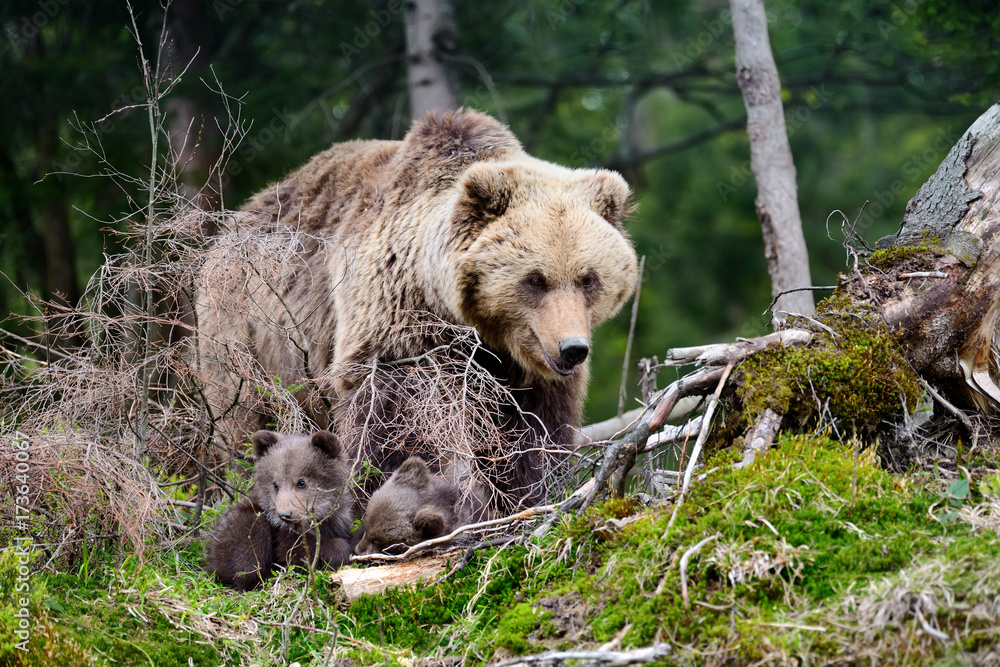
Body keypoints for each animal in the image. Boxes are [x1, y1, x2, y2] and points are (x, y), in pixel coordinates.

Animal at [195, 108, 636, 512]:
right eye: (536, 279)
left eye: (588, 278)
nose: (572, 348)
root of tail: (234, 224)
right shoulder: (396, 325)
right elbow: (396, 424)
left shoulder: (523, 371)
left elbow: (532, 433)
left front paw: (526, 498)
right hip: (246, 335)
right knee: (249, 421)